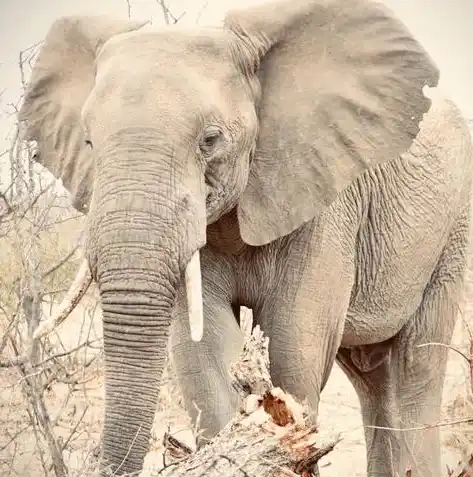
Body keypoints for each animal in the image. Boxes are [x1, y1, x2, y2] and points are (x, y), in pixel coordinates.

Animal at [18, 0, 472, 474]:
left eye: (210, 139)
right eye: (88, 141)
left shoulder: (325, 196)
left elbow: (293, 347)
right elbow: (204, 350)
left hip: (451, 230)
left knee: (413, 371)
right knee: (373, 376)